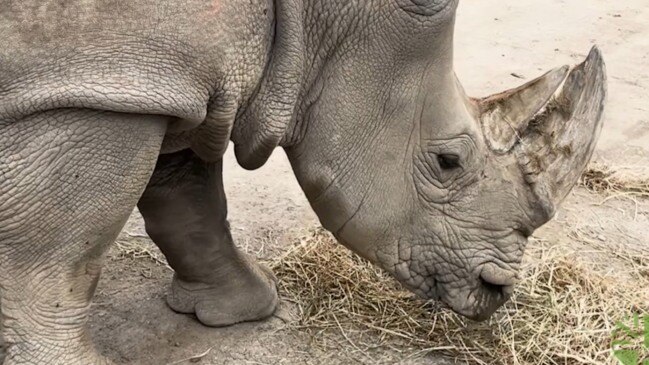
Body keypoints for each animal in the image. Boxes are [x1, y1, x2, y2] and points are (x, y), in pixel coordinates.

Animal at [1, 0, 604, 362]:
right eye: (448, 162)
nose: (495, 292)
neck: (325, 12)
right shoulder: (99, 85)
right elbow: (55, 259)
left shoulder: (167, 83)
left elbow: (190, 201)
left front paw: (242, 307)